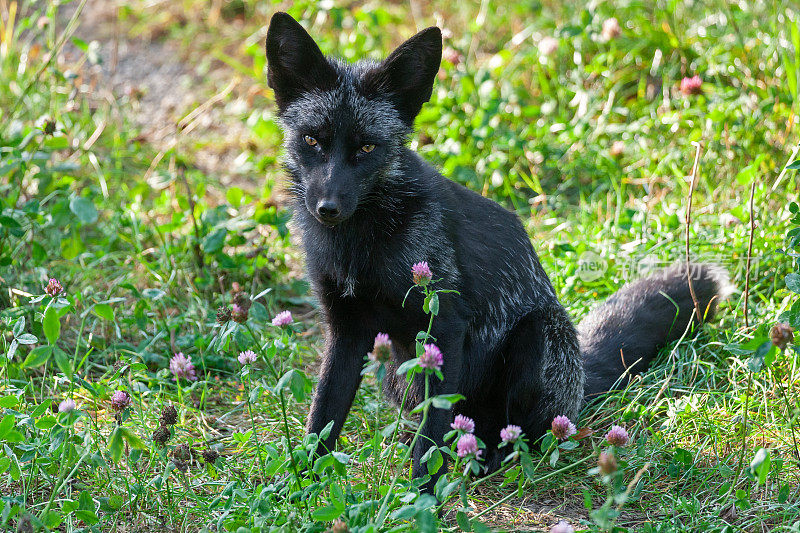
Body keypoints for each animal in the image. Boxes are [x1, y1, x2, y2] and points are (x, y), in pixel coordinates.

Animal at [264, 13, 732, 490]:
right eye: (312, 141)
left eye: (366, 147)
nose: (327, 209)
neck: (359, 247)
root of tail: (581, 378)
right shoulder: (345, 327)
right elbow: (322, 418)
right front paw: (301, 485)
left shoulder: (444, 325)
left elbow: (430, 438)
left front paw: (421, 496)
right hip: (394, 370)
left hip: (537, 341)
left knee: (526, 435)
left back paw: (492, 459)